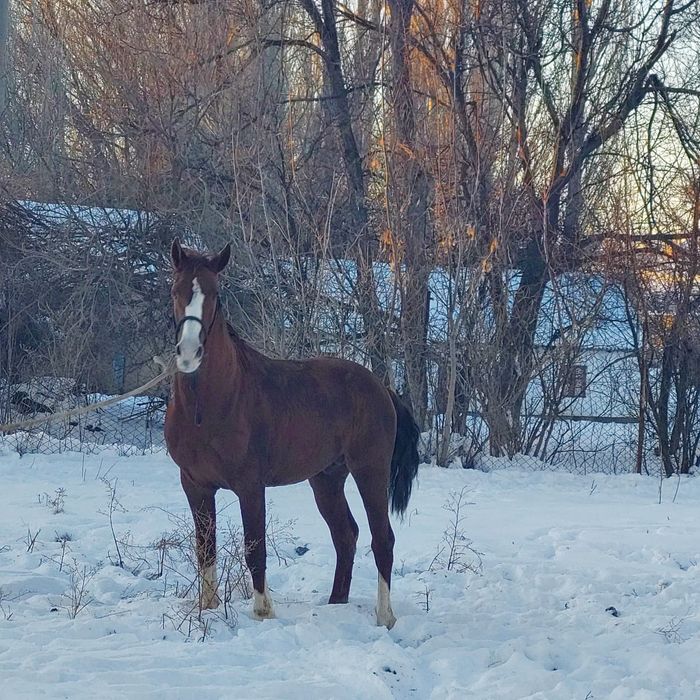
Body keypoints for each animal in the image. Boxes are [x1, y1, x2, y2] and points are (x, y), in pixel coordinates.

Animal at [164, 238, 420, 628]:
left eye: (216, 295)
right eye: (176, 291)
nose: (190, 353)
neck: (207, 407)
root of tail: (382, 388)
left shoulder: (249, 486)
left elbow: (254, 547)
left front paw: (262, 611)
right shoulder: (195, 485)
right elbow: (205, 548)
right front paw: (207, 609)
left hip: (370, 471)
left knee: (382, 539)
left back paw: (384, 616)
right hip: (326, 479)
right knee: (346, 536)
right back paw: (335, 604)